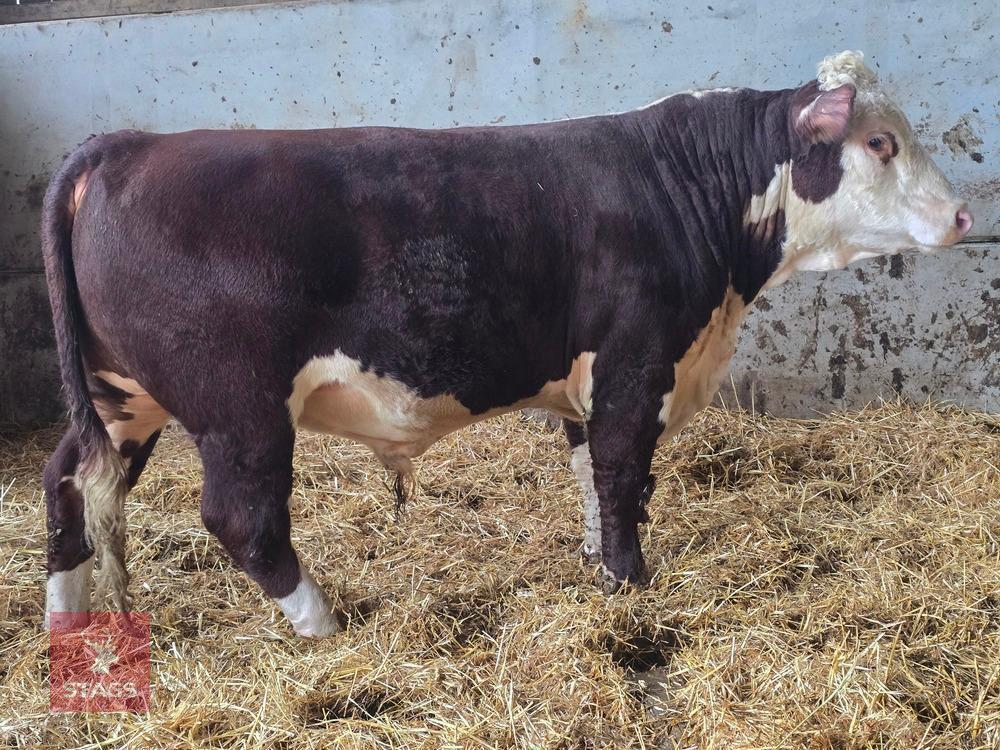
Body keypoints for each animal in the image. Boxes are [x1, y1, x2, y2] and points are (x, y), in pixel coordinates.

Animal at [42, 51, 972, 637]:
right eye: (880, 142)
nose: (965, 215)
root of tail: (125, 147)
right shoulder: (636, 365)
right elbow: (622, 476)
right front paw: (632, 584)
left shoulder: (589, 384)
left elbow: (592, 480)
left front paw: (600, 570)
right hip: (238, 407)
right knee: (243, 518)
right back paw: (323, 624)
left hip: (123, 396)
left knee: (69, 482)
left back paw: (68, 616)